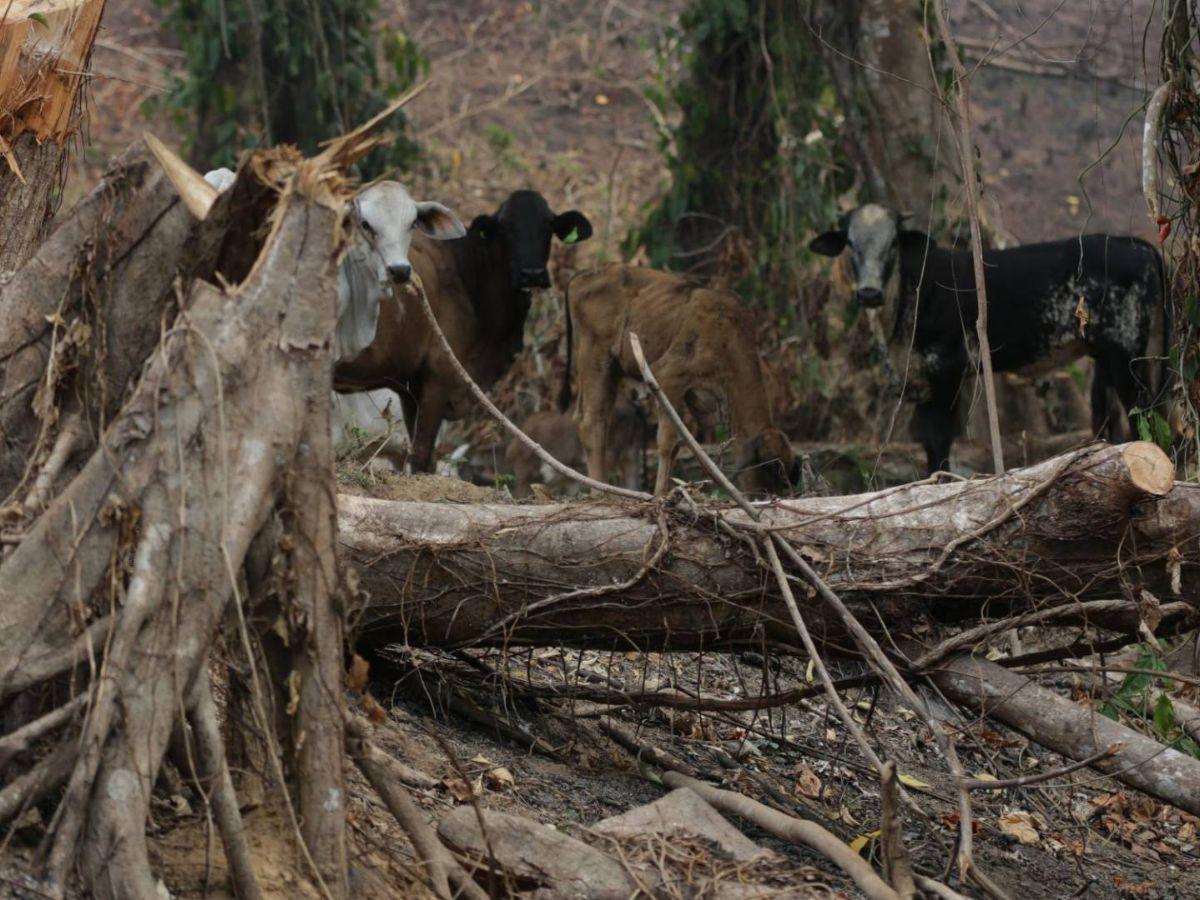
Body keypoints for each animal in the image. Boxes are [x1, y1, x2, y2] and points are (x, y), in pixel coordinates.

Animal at [333, 187, 595, 475]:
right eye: (505, 228)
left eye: (548, 225)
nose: (532, 274)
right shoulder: (439, 378)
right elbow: (423, 456)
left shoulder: (409, 386)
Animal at [559, 264, 796, 496]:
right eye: (768, 468)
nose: (768, 495)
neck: (730, 339)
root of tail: (583, 275)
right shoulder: (668, 378)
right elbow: (668, 442)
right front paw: (659, 494)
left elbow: (685, 443)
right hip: (597, 361)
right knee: (591, 423)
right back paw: (601, 492)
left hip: (611, 370)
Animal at [811, 202, 1166, 472]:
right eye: (850, 244)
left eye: (893, 245)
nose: (869, 293)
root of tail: (1136, 245)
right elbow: (926, 439)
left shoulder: (946, 368)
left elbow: (939, 437)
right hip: (1113, 356)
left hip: (1126, 353)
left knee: (1143, 411)